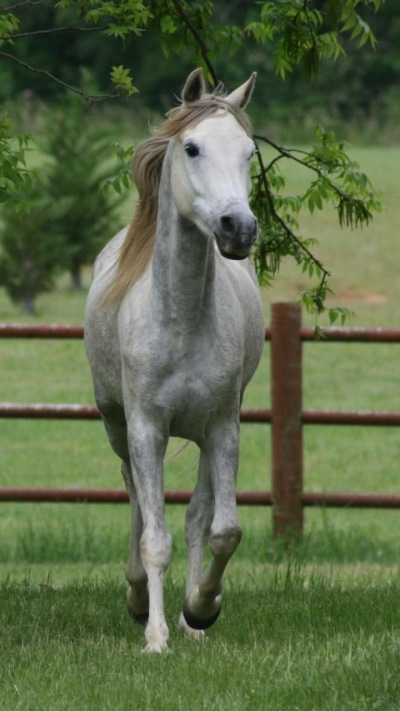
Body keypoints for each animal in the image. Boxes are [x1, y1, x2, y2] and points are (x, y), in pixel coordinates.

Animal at [84, 68, 264, 652]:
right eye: (192, 148)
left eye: (249, 152)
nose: (238, 228)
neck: (181, 322)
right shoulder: (146, 428)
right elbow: (154, 536)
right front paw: (156, 637)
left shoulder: (223, 427)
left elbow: (220, 529)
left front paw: (201, 610)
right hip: (118, 428)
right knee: (137, 502)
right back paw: (140, 600)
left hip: (207, 434)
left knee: (196, 517)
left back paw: (189, 622)